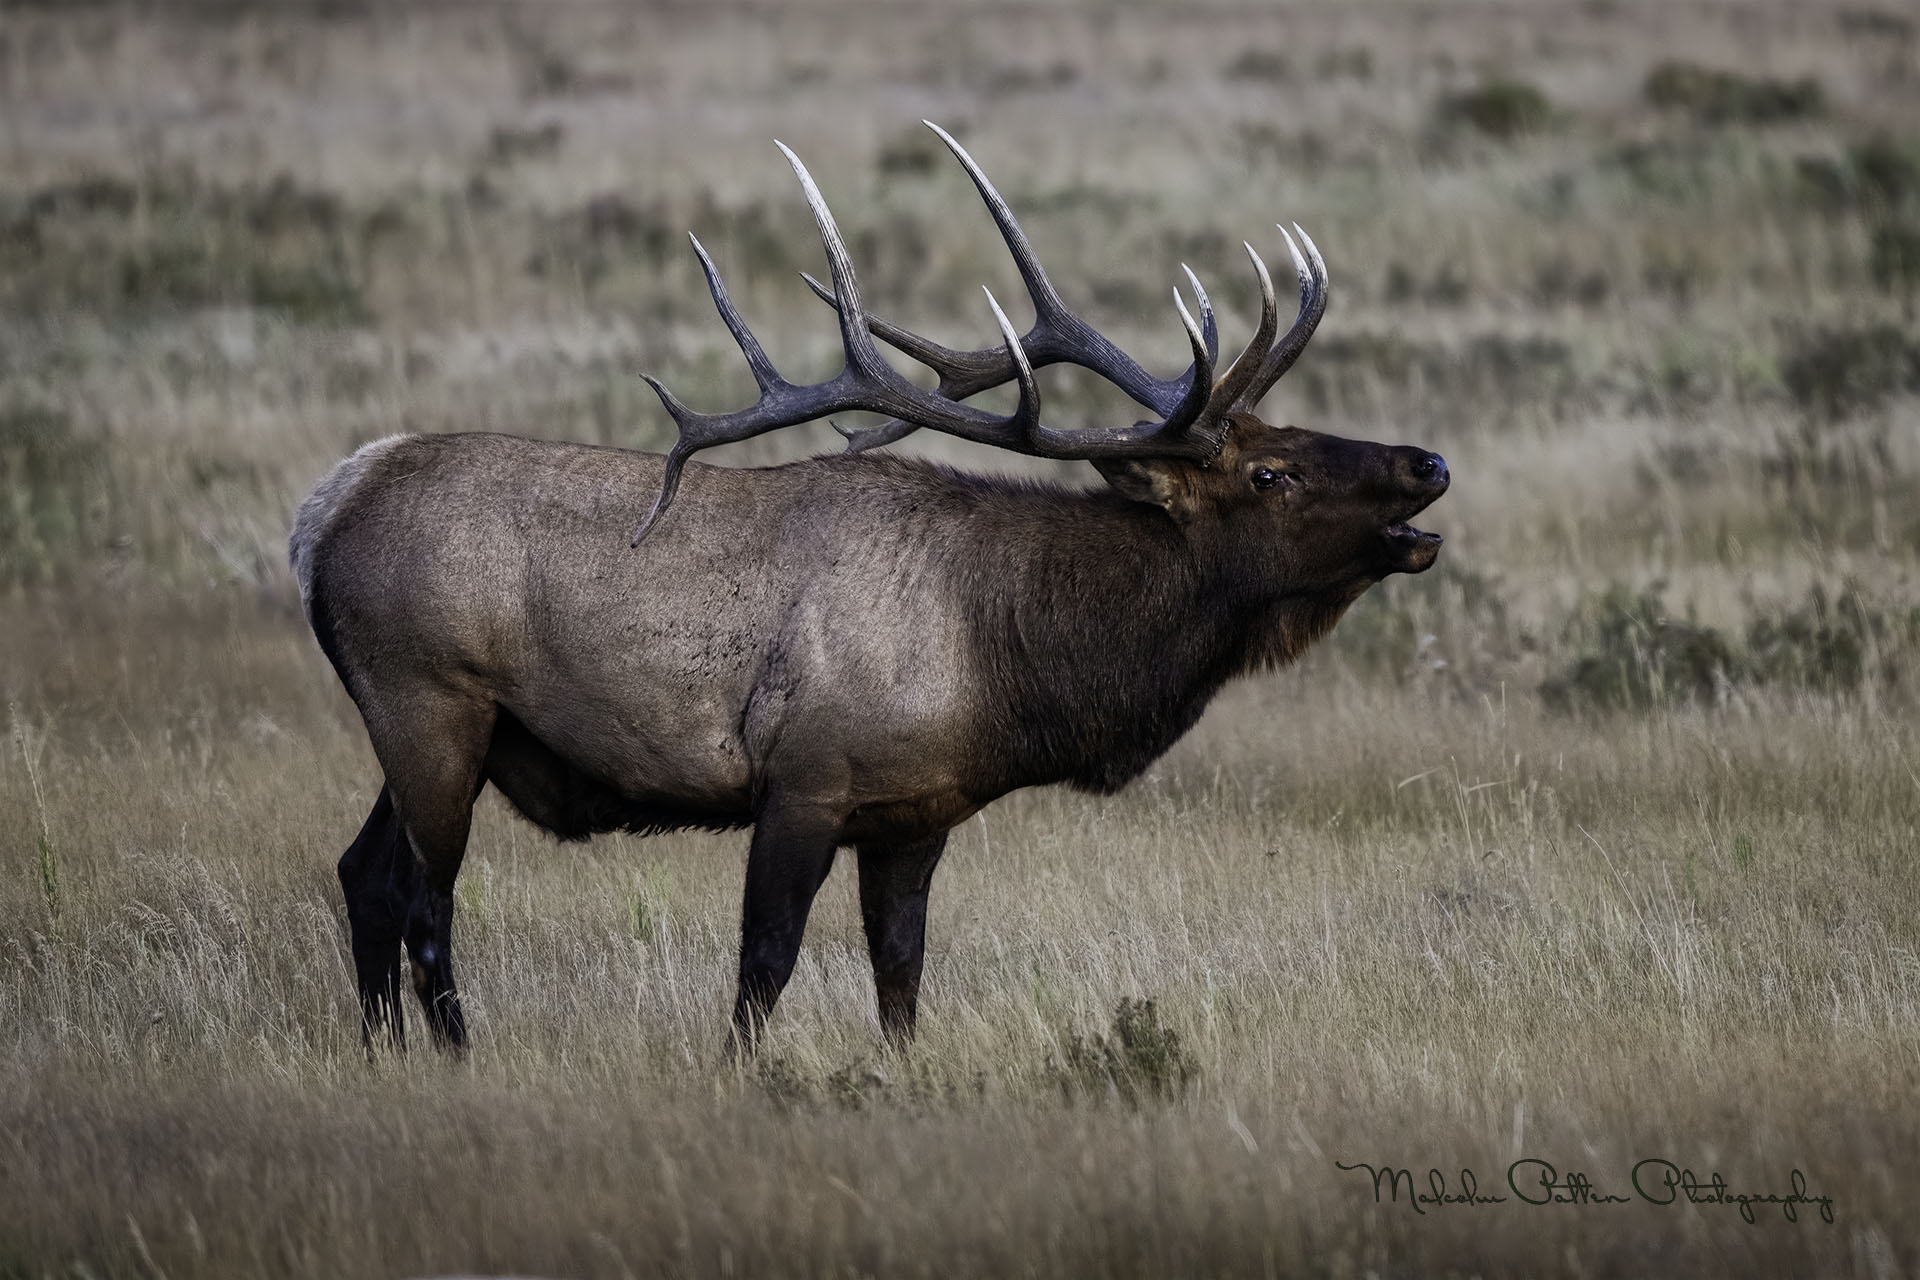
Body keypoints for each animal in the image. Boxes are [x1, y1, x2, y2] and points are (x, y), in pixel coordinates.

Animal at [291, 122, 1443, 1059]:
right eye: (1271, 474)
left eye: (1289, 434)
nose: (1428, 462)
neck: (1005, 660)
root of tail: (323, 509)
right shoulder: (805, 780)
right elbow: (765, 963)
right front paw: (739, 1075)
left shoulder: (917, 811)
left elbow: (901, 972)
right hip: (430, 700)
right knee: (425, 899)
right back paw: (454, 1054)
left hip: (442, 730)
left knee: (363, 872)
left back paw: (381, 1050)